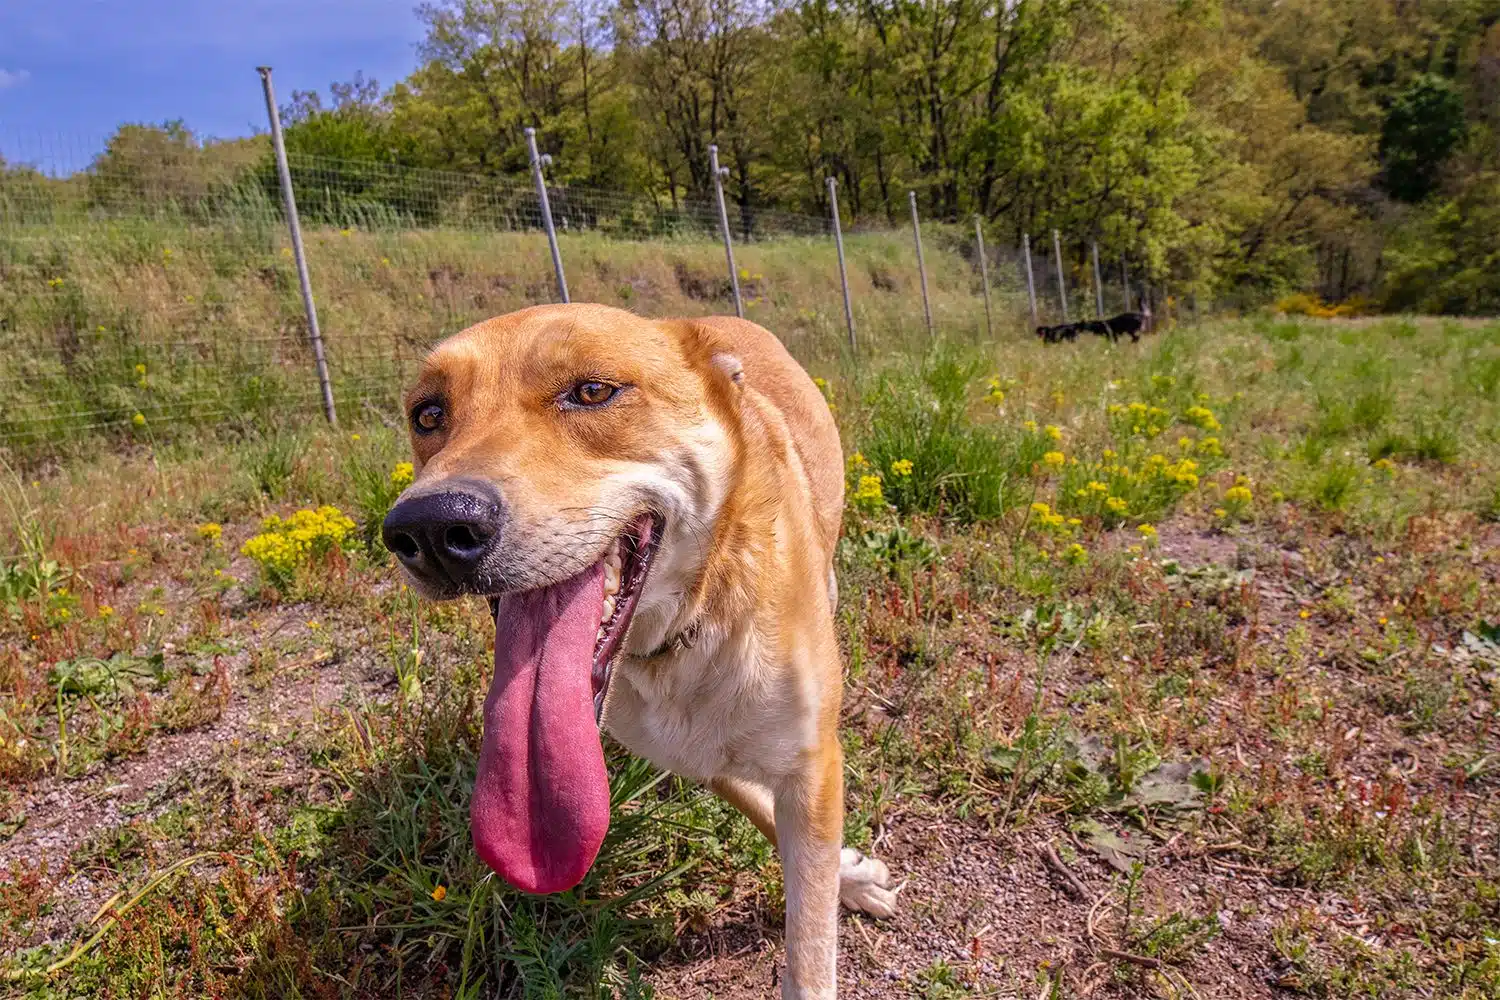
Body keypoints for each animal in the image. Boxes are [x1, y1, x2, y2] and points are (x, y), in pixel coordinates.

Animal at [381, 304, 896, 999]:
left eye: (593, 391)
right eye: (429, 414)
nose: (431, 528)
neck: (687, 632)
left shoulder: (812, 755)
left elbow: (810, 942)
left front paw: (846, 879)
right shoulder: (696, 754)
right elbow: (764, 812)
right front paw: (845, 871)